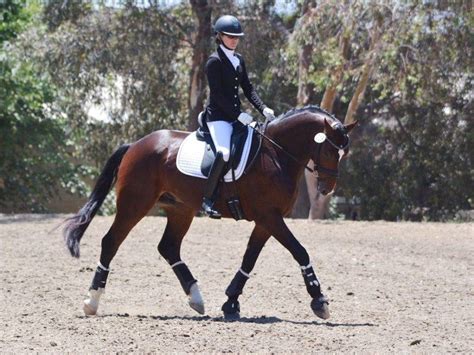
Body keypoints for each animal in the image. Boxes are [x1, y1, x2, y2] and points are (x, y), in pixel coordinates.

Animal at [62, 105, 356, 320]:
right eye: (330, 150)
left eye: (344, 153)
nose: (326, 188)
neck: (276, 153)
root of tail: (135, 145)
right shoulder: (270, 217)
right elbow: (300, 251)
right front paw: (319, 301)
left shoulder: (266, 220)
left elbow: (249, 259)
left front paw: (231, 303)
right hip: (135, 204)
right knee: (111, 241)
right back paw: (91, 301)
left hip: (180, 209)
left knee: (168, 247)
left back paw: (196, 298)